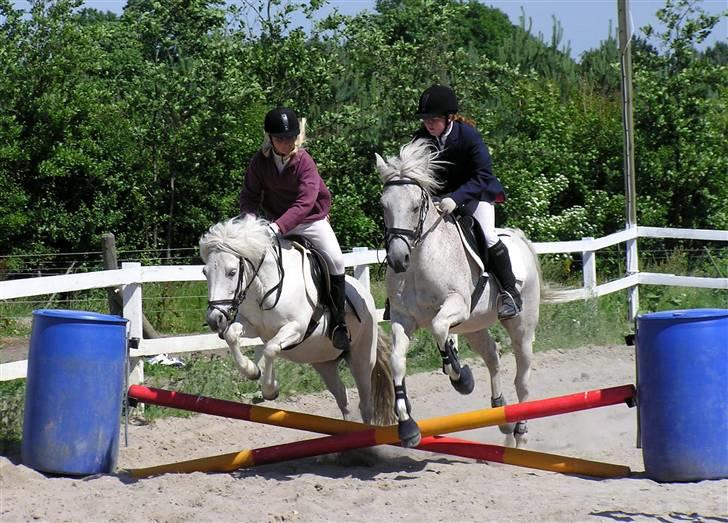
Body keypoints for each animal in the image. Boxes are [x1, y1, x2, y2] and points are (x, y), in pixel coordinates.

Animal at [198, 217, 392, 426]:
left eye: (232, 272)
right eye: (205, 272)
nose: (214, 319)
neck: (264, 287)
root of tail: (366, 295)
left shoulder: (296, 329)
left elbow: (270, 349)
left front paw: (270, 388)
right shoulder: (252, 326)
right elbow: (232, 336)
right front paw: (252, 371)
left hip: (361, 359)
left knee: (365, 404)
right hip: (323, 362)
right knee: (343, 398)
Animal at [378, 140, 544, 450]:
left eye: (415, 206)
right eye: (384, 206)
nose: (397, 259)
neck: (419, 261)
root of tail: (518, 238)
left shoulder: (456, 305)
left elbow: (438, 328)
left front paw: (462, 378)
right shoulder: (403, 318)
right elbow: (396, 361)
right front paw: (407, 426)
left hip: (521, 327)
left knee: (523, 379)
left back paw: (520, 433)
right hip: (474, 326)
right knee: (492, 355)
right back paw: (501, 415)